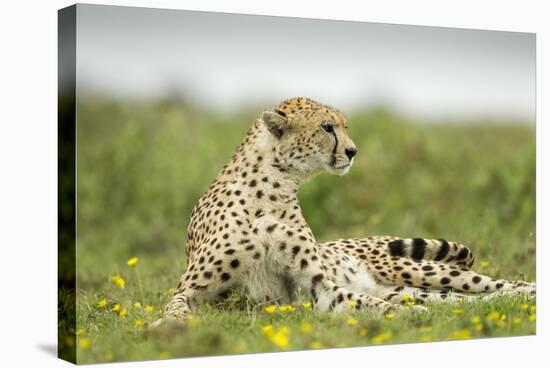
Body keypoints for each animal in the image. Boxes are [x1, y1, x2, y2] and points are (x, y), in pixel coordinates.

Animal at [152, 96, 536, 326]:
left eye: (344, 126)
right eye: (327, 127)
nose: (353, 151)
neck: (274, 186)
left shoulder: (317, 286)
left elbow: (361, 301)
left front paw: (404, 316)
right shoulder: (191, 288)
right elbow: (175, 306)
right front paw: (167, 326)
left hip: (421, 271)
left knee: (498, 284)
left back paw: (528, 292)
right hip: (414, 287)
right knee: (466, 300)